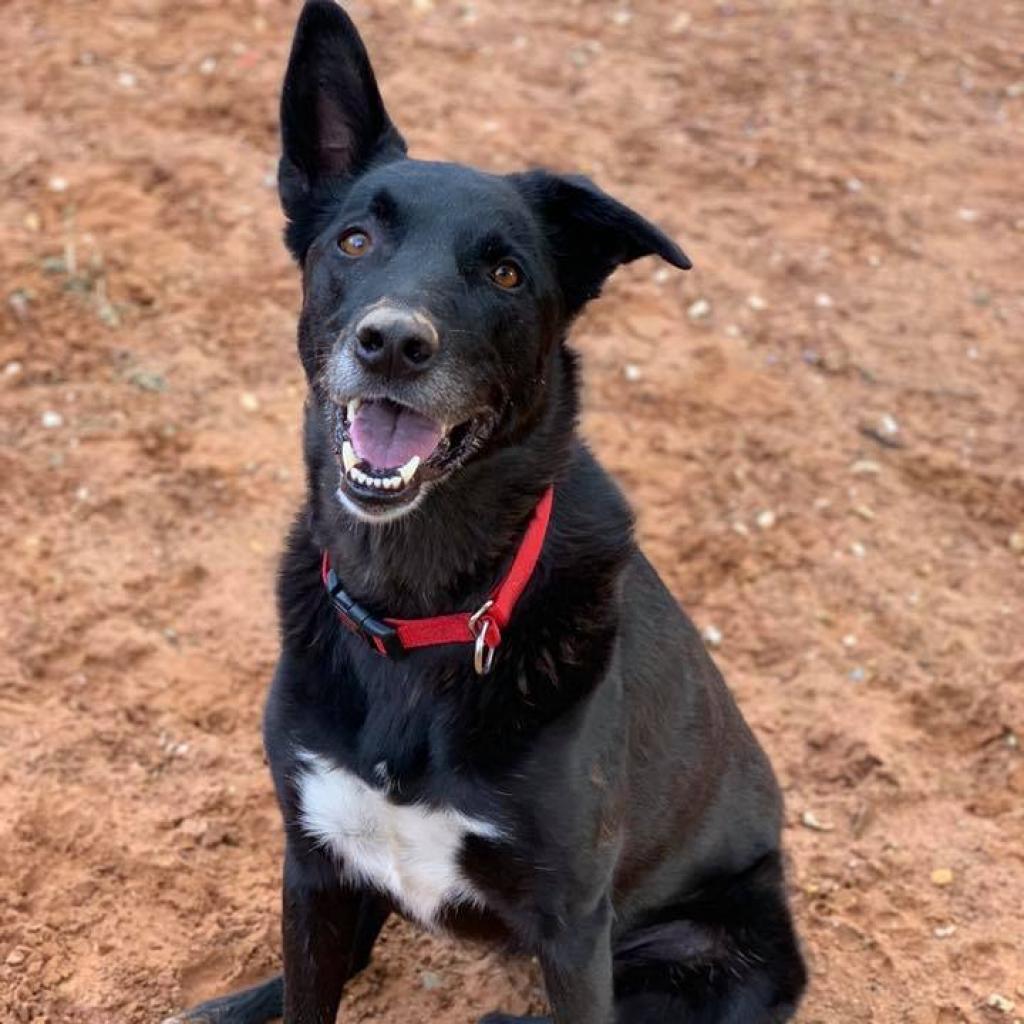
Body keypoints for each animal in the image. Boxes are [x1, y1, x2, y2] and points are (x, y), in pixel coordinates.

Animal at [167, 4, 806, 1019]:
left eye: (505, 274)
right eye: (354, 241)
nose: (392, 342)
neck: (414, 604)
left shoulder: (573, 925)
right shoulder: (313, 863)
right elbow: (316, 981)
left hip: (720, 954)